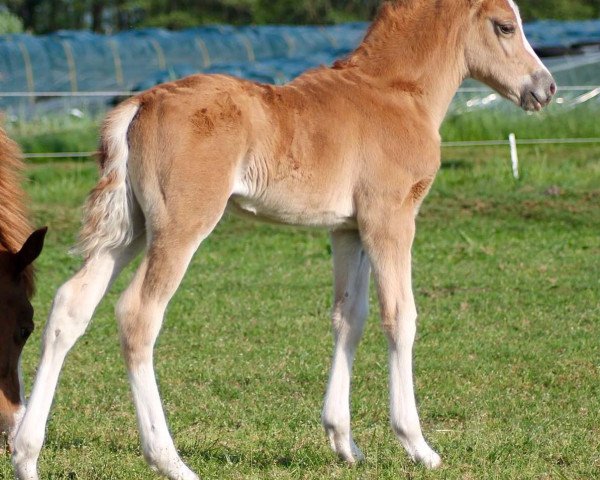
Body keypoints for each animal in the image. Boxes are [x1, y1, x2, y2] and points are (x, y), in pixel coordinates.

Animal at [11, 0, 556, 476]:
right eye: (505, 26)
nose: (546, 88)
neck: (396, 93)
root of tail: (142, 102)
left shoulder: (348, 229)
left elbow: (349, 318)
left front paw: (344, 443)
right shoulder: (391, 218)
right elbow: (400, 317)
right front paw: (418, 446)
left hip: (131, 228)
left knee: (71, 304)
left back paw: (25, 454)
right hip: (181, 224)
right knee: (137, 314)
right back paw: (170, 461)